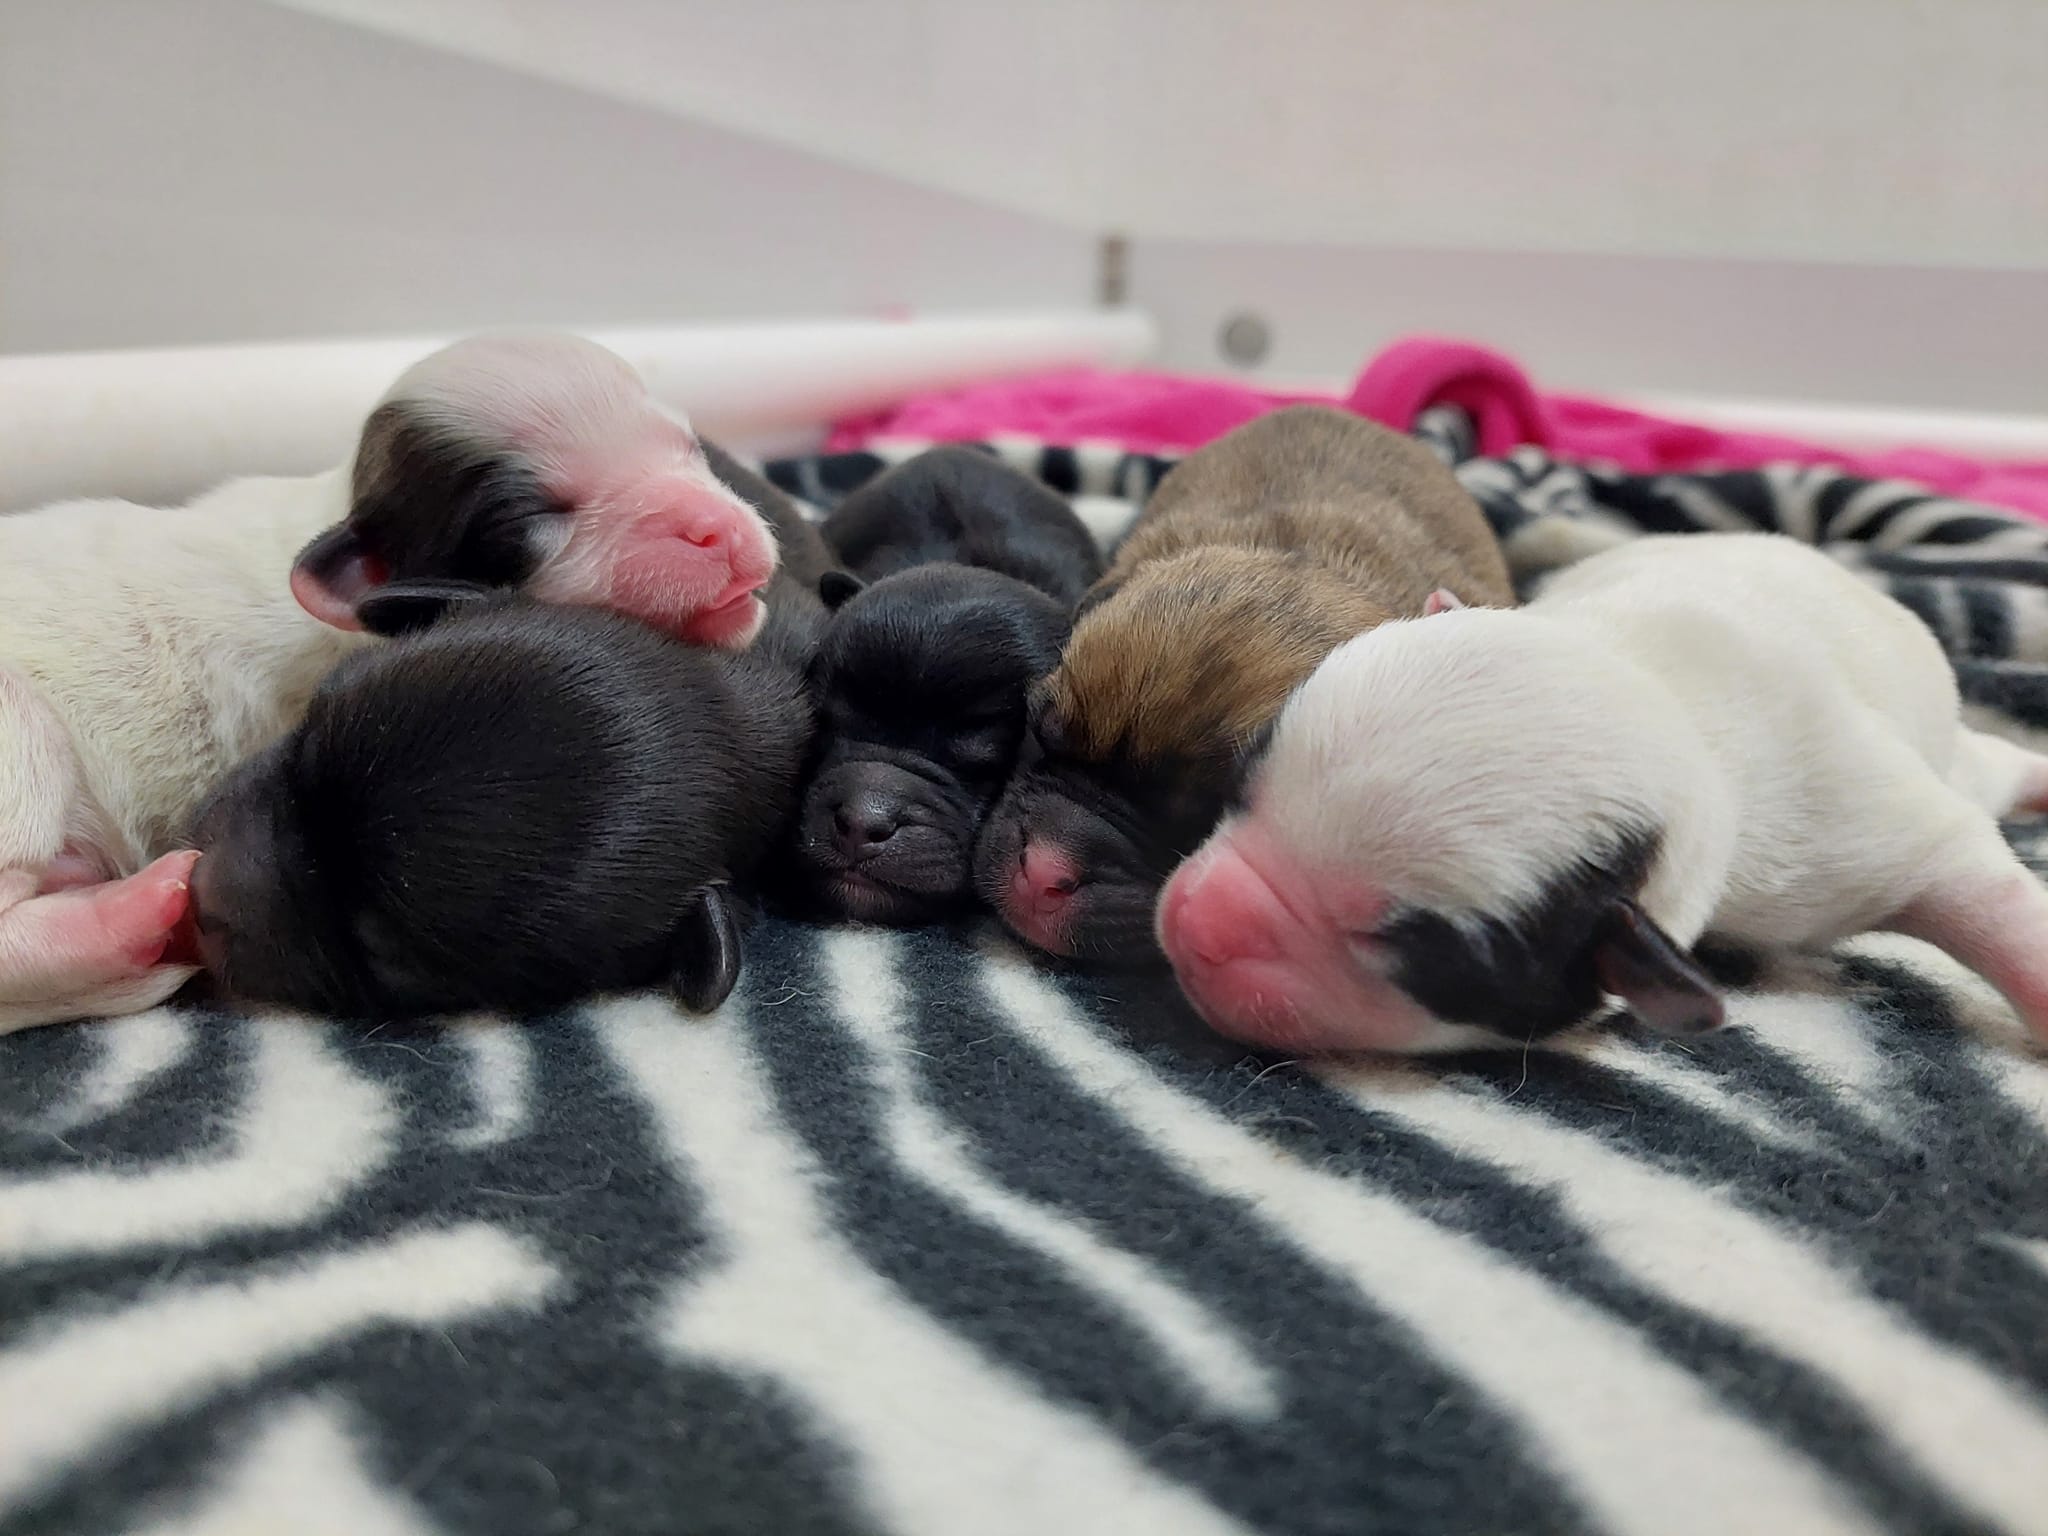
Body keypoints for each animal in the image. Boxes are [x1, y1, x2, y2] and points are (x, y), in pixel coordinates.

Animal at [1155, 536, 2048, 1056]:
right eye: (1240, 784)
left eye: (1419, 954)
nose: (1198, 921)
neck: (1659, 694)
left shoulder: (1838, 829)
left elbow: (1969, 874)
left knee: (1988, 769)